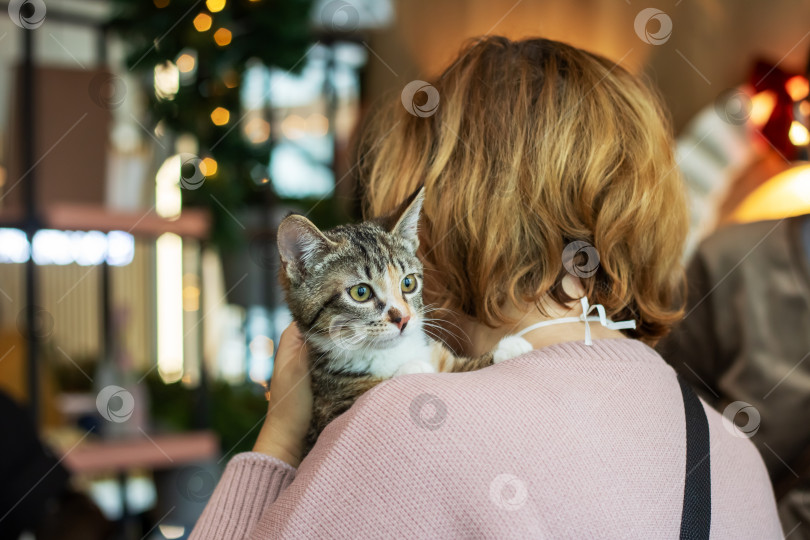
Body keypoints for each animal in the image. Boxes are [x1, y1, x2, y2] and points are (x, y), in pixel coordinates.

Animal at [278, 188, 532, 454]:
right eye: (361, 292)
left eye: (408, 283)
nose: (403, 318)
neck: (390, 353)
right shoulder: (326, 413)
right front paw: (411, 369)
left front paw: (507, 350)